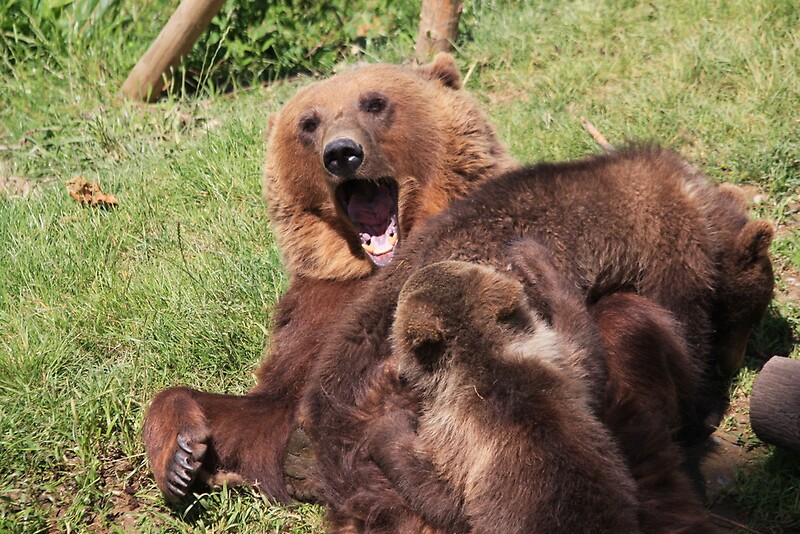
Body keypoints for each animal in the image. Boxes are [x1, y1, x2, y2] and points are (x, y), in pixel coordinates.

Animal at [142, 53, 518, 502]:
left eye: (374, 102)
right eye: (308, 122)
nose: (341, 153)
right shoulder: (315, 308)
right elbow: (260, 410)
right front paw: (181, 457)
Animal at [365, 258, 641, 533]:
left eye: (403, 295)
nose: (425, 267)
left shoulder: (461, 442)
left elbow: (439, 493)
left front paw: (388, 421)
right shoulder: (562, 371)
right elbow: (582, 341)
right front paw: (533, 263)